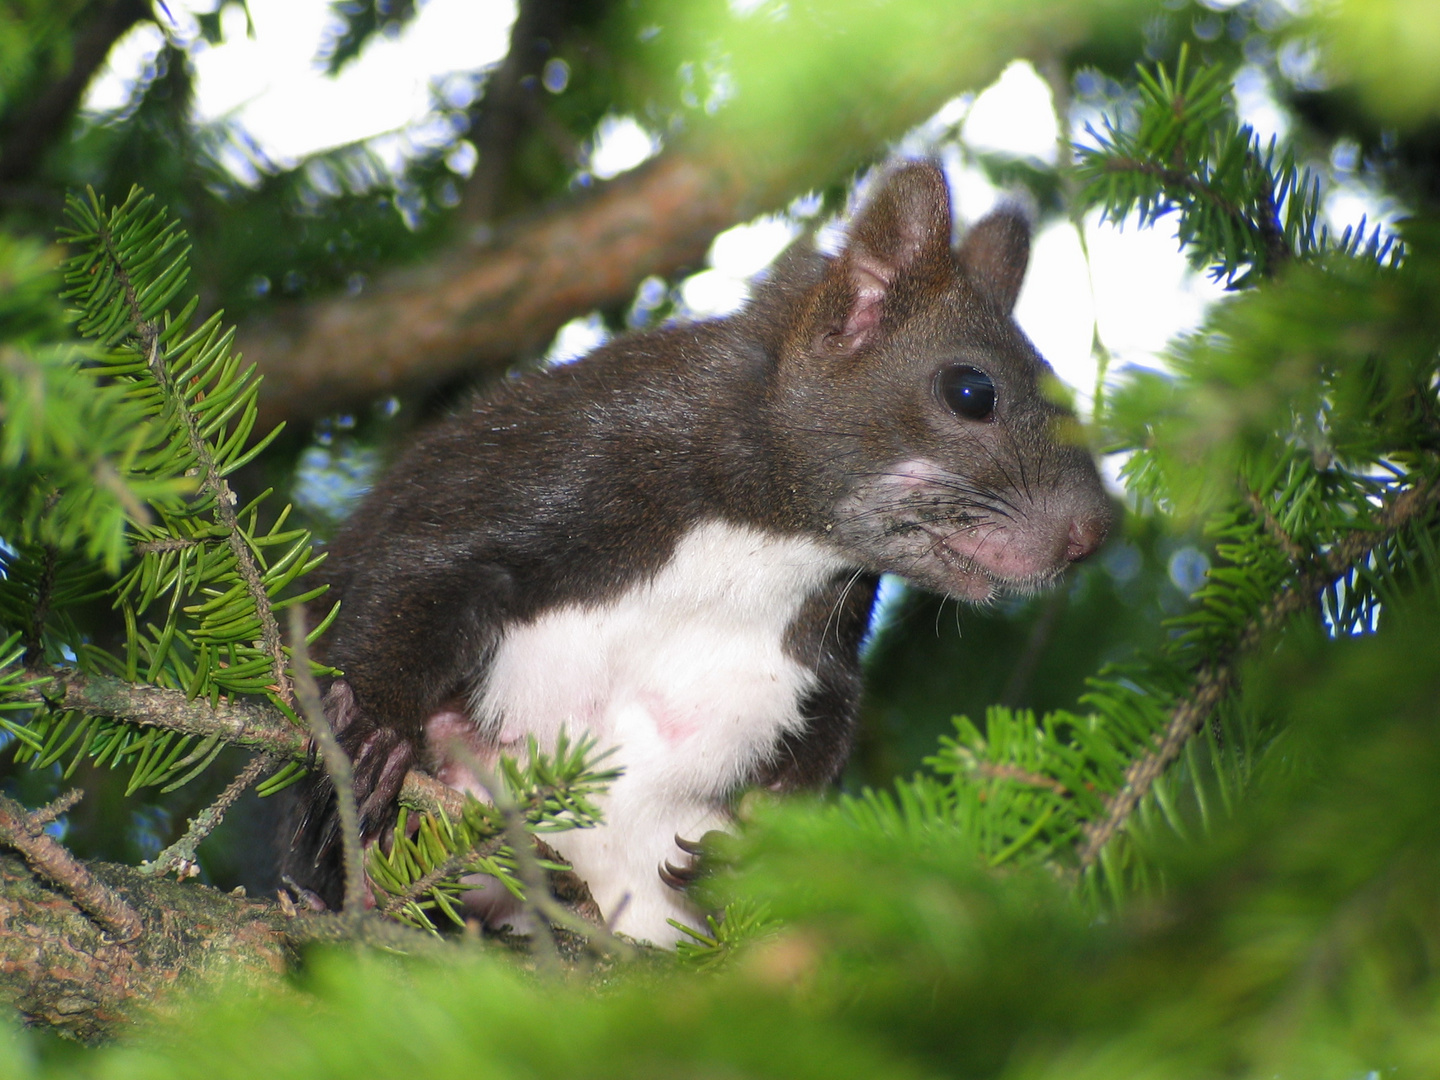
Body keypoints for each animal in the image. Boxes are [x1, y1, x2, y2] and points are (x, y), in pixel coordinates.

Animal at [280, 160, 1111, 944]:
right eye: (971, 391)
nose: (1094, 534)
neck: (773, 542)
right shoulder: (558, 464)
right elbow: (414, 570)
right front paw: (376, 734)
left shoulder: (828, 649)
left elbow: (825, 738)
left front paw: (754, 854)